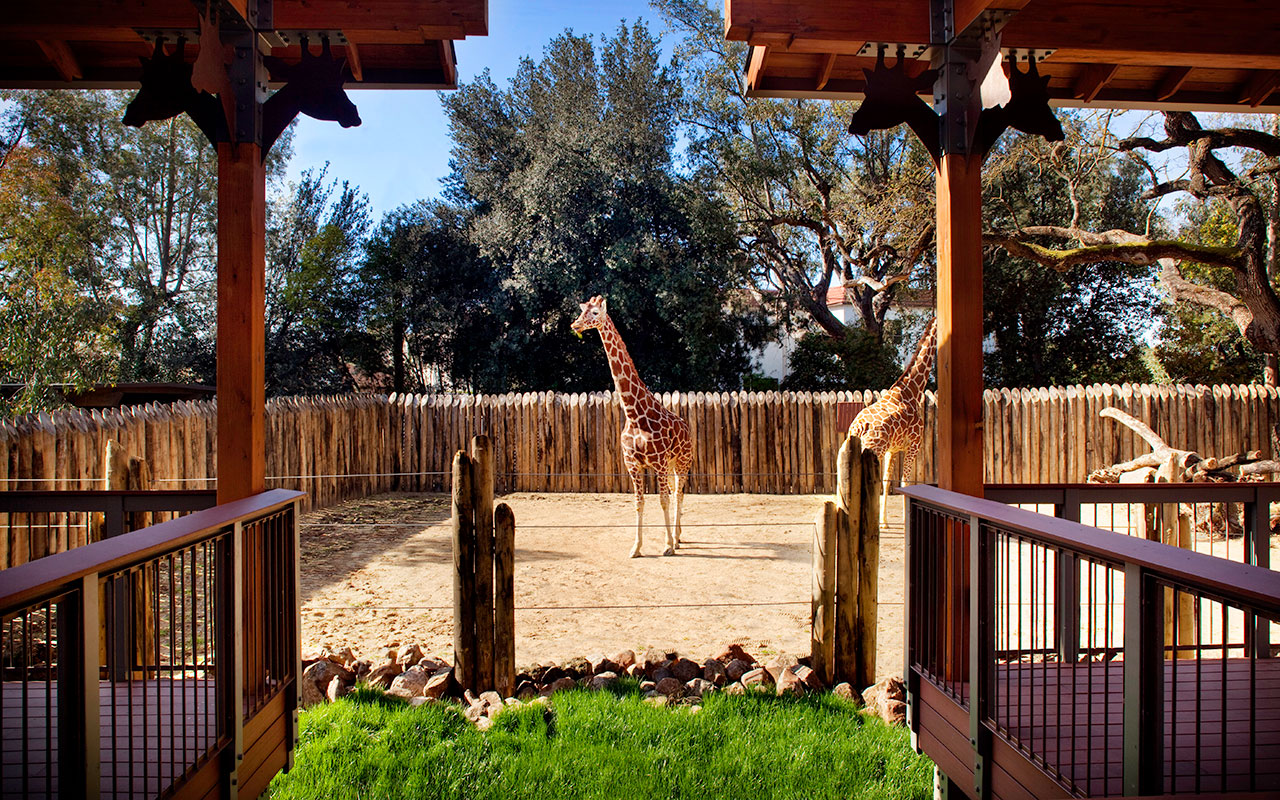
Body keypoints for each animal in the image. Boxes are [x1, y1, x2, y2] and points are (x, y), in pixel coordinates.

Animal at [568, 293, 691, 555]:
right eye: (582, 311)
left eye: (595, 313)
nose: (575, 325)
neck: (634, 414)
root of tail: (686, 427)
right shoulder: (633, 464)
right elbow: (639, 502)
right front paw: (636, 547)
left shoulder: (658, 462)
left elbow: (663, 500)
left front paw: (667, 546)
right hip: (673, 463)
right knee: (676, 491)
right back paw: (677, 537)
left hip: (683, 460)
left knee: (679, 493)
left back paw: (676, 538)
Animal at [849, 314, 942, 527]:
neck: (912, 391)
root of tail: (858, 427)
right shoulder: (914, 445)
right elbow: (904, 483)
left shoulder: (892, 450)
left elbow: (887, 480)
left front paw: (884, 521)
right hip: (874, 449)